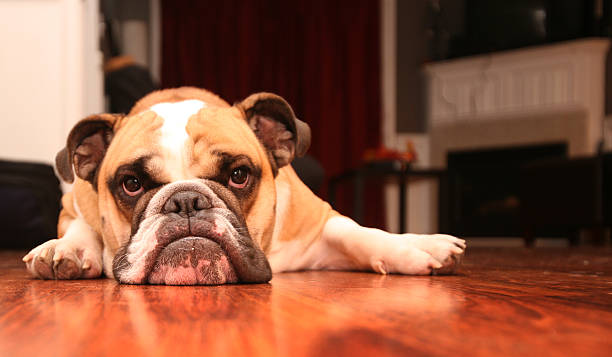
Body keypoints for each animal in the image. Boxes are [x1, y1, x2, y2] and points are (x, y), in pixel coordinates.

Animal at [22, 87, 464, 284]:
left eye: (238, 175)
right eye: (132, 184)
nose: (186, 201)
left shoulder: (316, 222)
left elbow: (358, 232)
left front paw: (412, 247)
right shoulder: (76, 200)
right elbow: (81, 222)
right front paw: (67, 249)